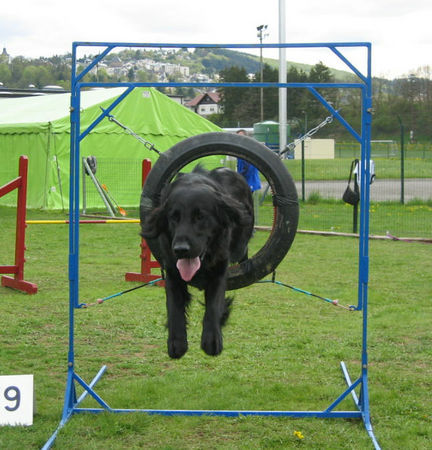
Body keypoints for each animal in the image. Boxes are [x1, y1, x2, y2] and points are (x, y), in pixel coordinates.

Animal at [143, 165, 253, 358]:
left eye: (200, 217)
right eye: (174, 217)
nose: (180, 249)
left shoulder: (219, 269)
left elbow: (214, 305)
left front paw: (212, 340)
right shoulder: (172, 271)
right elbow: (174, 307)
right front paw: (177, 343)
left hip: (240, 242)